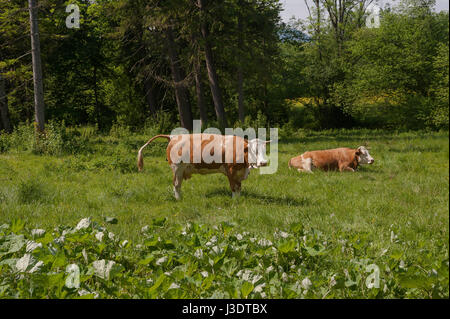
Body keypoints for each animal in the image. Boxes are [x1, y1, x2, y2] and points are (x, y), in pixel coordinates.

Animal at [137, 134, 268, 200]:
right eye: (253, 150)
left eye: (264, 149)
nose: (264, 162)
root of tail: (173, 136)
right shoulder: (231, 171)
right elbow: (234, 187)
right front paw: (235, 201)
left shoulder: (239, 173)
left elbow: (239, 187)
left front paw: (239, 200)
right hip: (177, 168)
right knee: (176, 185)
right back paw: (178, 199)